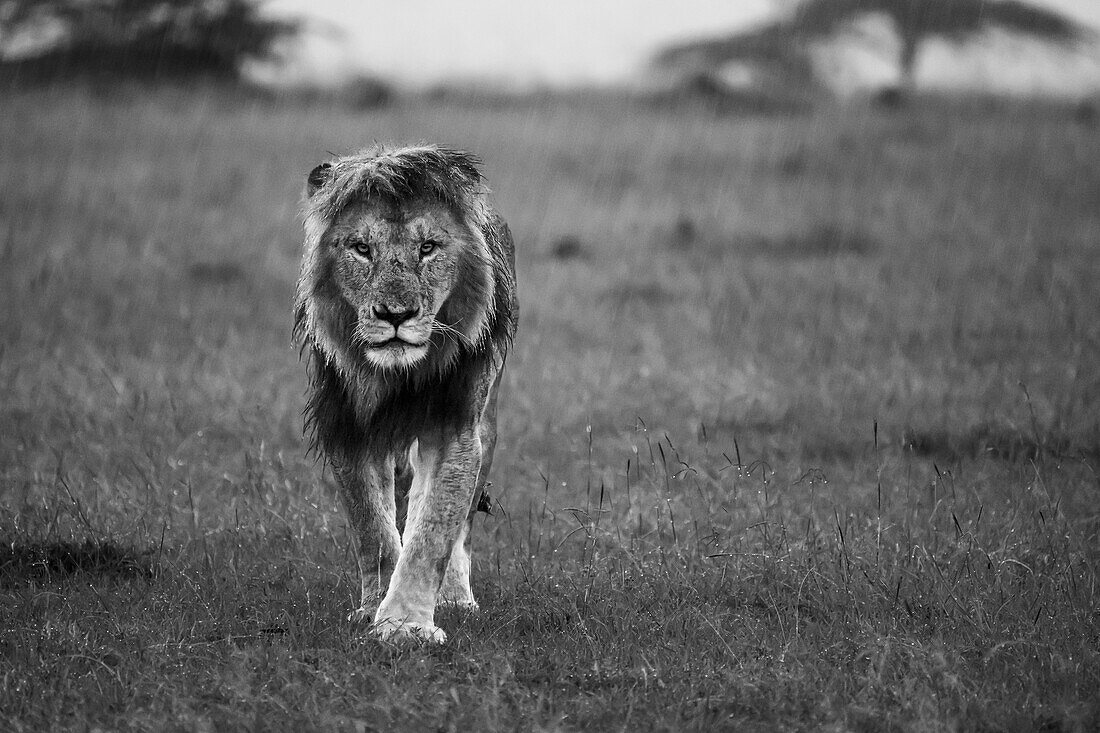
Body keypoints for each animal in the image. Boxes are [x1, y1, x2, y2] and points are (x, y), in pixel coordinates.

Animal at [292, 143, 514, 638]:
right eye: (361, 249)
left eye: (427, 248)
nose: (396, 314)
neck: (398, 376)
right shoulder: (348, 424)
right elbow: (371, 530)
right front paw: (375, 608)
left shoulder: (456, 425)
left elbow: (434, 530)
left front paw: (406, 625)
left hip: (487, 422)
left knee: (460, 524)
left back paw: (455, 597)